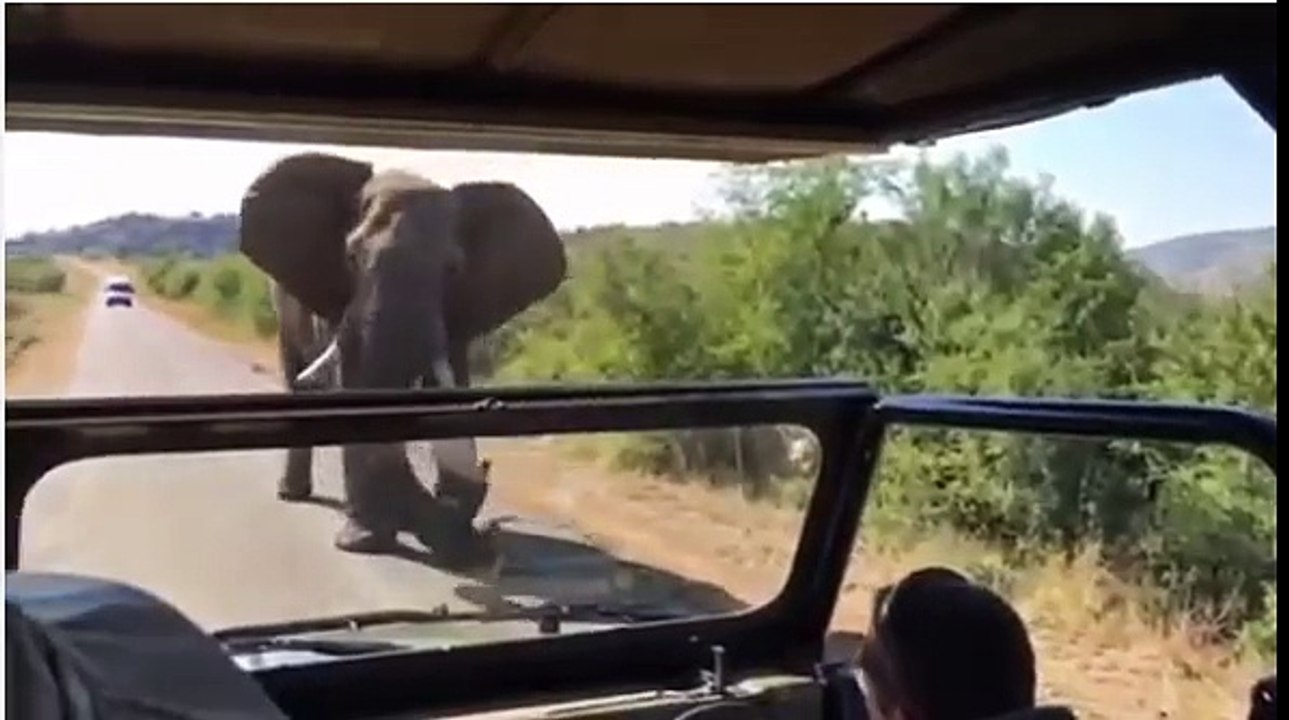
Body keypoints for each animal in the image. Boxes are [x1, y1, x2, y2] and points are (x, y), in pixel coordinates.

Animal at [238, 152, 567, 561]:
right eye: (351, 257)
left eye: (453, 269)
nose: (483, 539)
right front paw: (365, 542)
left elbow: (451, 379)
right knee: (296, 375)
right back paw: (293, 494)